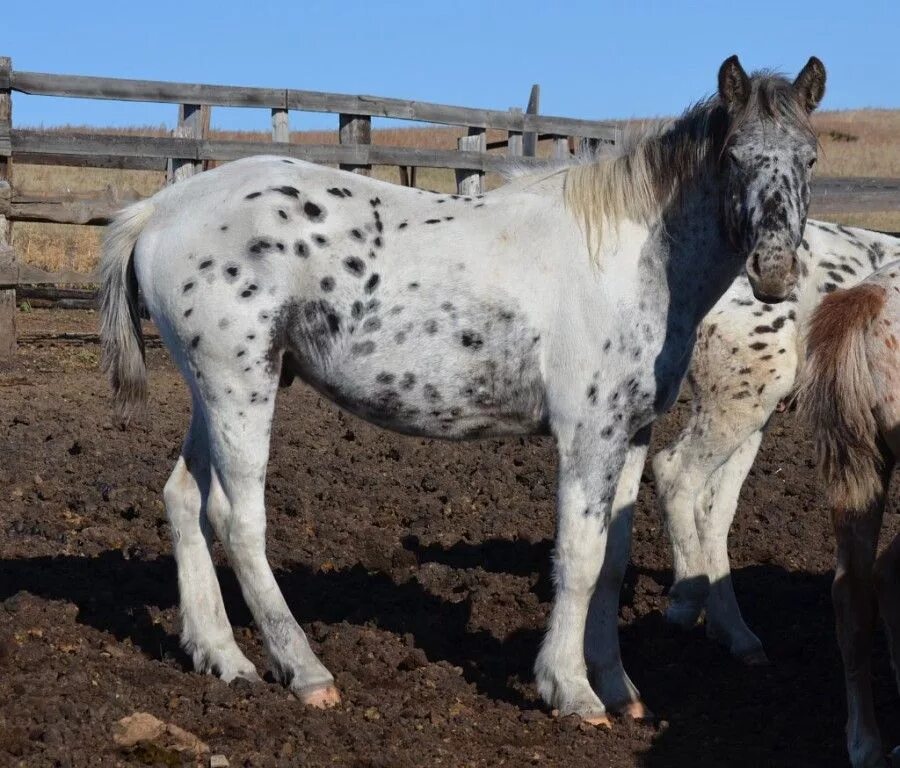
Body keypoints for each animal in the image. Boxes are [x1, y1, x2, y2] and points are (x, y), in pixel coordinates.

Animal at [96, 57, 824, 724]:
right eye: (734, 156)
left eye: (810, 157)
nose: (775, 270)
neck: (626, 259)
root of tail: (160, 208)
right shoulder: (588, 434)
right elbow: (581, 557)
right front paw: (571, 691)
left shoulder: (633, 431)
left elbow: (613, 560)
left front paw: (619, 689)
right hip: (237, 387)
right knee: (236, 517)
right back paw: (305, 671)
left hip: (214, 392)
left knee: (184, 499)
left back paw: (222, 657)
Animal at [652, 219, 900, 664]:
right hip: (741, 399)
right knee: (672, 471)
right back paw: (686, 599)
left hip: (748, 413)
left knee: (712, 510)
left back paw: (737, 636)